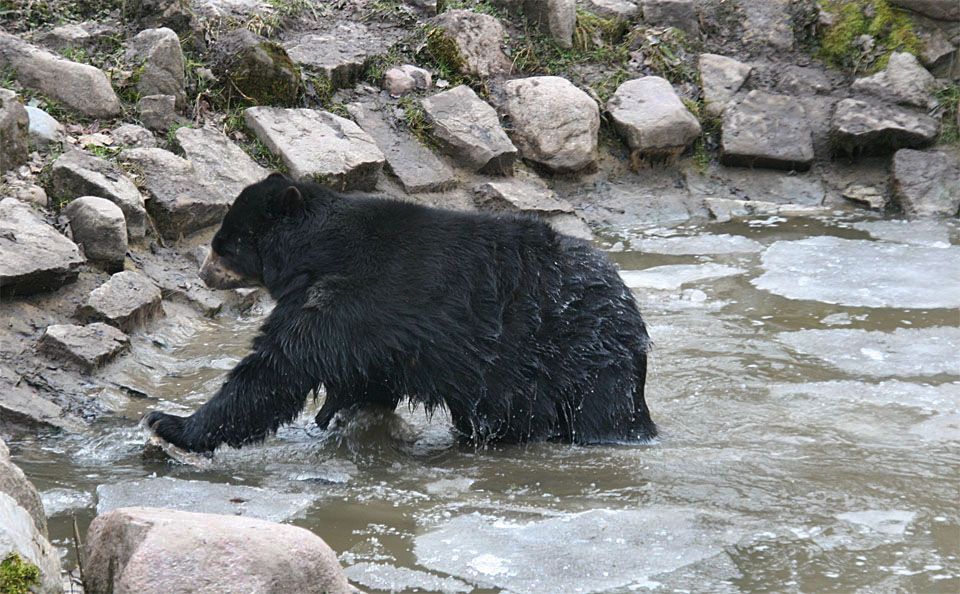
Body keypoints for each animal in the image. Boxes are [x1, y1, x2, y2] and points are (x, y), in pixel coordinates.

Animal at [146, 173, 656, 450]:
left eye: (224, 244)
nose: (203, 273)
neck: (317, 254)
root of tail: (629, 305)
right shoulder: (368, 328)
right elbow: (359, 375)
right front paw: (336, 414)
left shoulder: (350, 297)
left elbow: (276, 368)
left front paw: (170, 423)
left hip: (578, 355)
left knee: (598, 410)